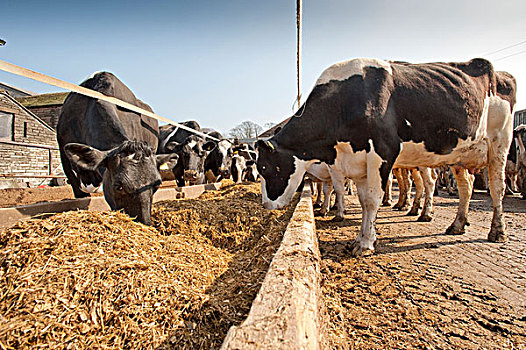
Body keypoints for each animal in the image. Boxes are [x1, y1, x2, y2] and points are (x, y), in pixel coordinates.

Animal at [258, 57, 516, 256]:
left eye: (264, 169)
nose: (266, 205)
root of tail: (500, 73)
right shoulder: (357, 161)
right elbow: (364, 202)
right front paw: (360, 238)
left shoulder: (381, 152)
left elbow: (372, 200)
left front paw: (365, 244)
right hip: (461, 155)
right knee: (466, 187)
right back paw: (458, 224)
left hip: (499, 143)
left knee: (496, 187)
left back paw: (497, 231)